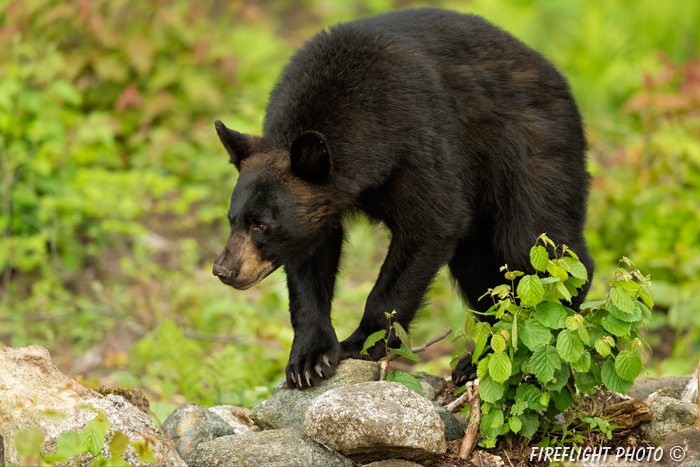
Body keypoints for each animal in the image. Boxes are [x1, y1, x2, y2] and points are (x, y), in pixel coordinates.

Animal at [215, 8, 596, 392]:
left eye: (262, 225)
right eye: (233, 219)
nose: (223, 270)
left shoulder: (418, 138)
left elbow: (430, 223)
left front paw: (363, 342)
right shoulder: (322, 205)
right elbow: (311, 258)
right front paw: (309, 358)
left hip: (533, 151)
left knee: (534, 244)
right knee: (480, 268)